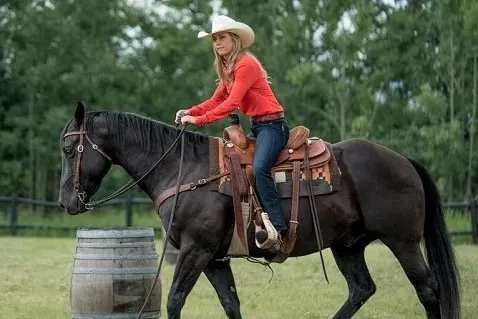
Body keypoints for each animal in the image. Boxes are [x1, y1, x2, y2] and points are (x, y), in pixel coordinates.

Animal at [59, 103, 460, 319]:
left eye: (67, 149)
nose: (66, 202)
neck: (183, 168)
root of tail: (404, 161)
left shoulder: (195, 250)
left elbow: (174, 301)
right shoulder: (215, 258)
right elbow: (231, 304)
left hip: (402, 241)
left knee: (428, 289)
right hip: (348, 246)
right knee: (362, 289)